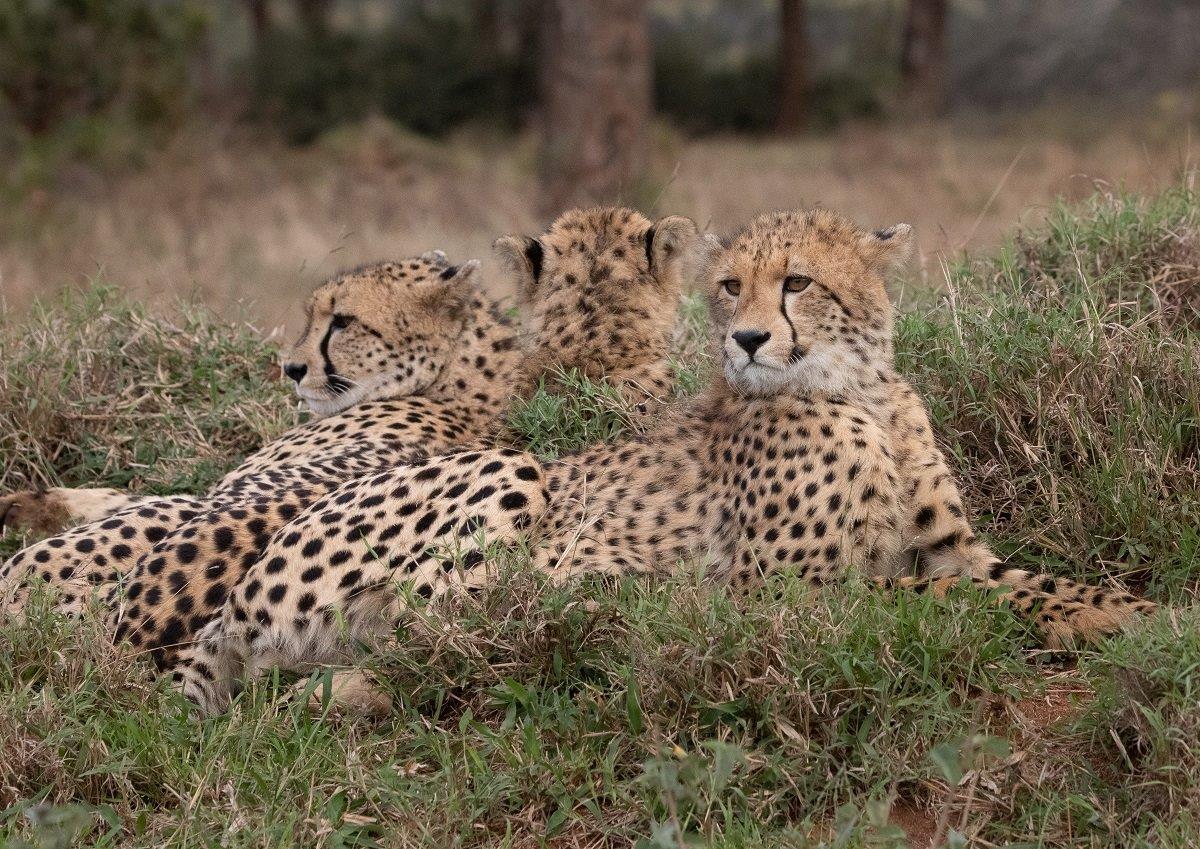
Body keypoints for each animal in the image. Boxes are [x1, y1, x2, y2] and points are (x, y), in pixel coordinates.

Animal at [171, 208, 1155, 716]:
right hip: (510, 478)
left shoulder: (951, 547)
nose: (747, 338)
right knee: (444, 641)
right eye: (729, 286)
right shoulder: (781, 594)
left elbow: (1032, 580)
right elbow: (950, 599)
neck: (860, 388)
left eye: (797, 281)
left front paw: (1130, 610)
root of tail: (237, 591)